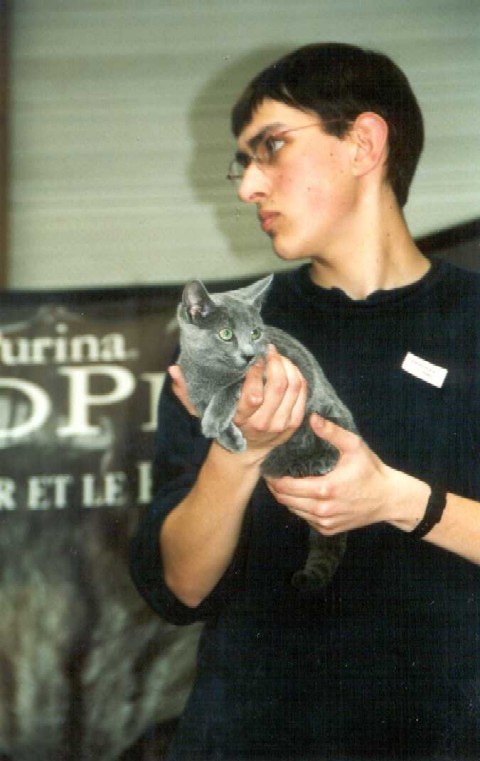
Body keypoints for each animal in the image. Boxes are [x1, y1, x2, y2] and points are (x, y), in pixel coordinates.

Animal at [177, 275, 358, 593]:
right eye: (226, 334)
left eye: (256, 332)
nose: (249, 354)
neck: (211, 375)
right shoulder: (193, 390)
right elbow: (205, 406)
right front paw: (227, 436)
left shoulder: (288, 368)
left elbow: (234, 386)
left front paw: (216, 417)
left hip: (327, 413)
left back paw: (316, 461)